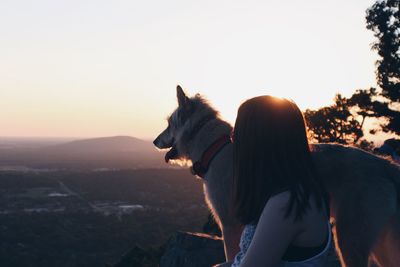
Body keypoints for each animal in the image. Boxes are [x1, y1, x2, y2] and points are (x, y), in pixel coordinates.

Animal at [153, 86, 400, 267]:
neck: (214, 146)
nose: (155, 141)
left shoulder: (230, 223)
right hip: (380, 242)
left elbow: (231, 256)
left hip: (350, 239)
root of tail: (384, 164)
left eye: (168, 124)